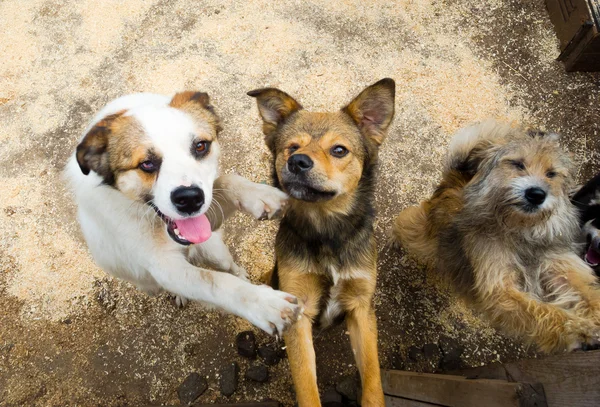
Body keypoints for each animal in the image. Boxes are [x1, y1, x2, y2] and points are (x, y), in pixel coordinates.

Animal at [64, 91, 304, 334]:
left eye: (200, 146)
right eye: (146, 163)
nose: (189, 199)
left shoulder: (208, 216)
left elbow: (227, 180)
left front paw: (261, 195)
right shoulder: (165, 267)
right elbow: (214, 282)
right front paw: (264, 304)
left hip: (215, 250)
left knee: (227, 265)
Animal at [246, 79, 396, 404]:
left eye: (339, 150)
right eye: (292, 147)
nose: (297, 161)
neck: (327, 231)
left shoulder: (361, 307)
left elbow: (373, 376)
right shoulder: (298, 309)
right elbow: (306, 384)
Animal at [392, 122, 600, 354]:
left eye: (552, 174)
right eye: (518, 164)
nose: (536, 194)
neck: (520, 231)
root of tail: (456, 176)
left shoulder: (560, 267)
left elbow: (586, 293)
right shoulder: (500, 289)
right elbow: (541, 312)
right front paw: (580, 331)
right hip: (420, 232)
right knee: (404, 223)